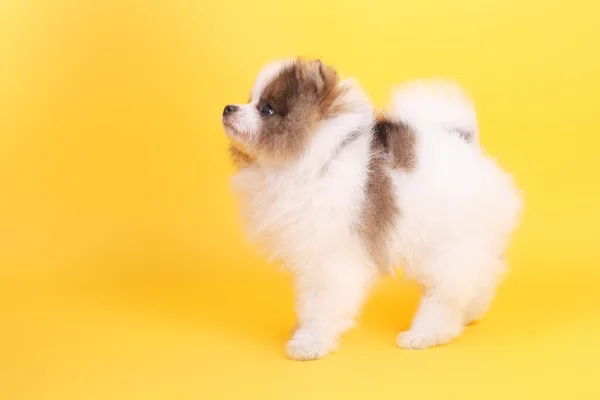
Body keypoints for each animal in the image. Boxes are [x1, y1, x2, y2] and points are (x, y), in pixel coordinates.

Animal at [223, 57, 524, 360]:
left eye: (266, 109)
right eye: (249, 100)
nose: (228, 108)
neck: (316, 163)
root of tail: (468, 148)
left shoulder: (330, 256)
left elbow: (320, 303)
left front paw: (310, 342)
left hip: (450, 245)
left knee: (445, 294)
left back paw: (424, 335)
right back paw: (470, 313)